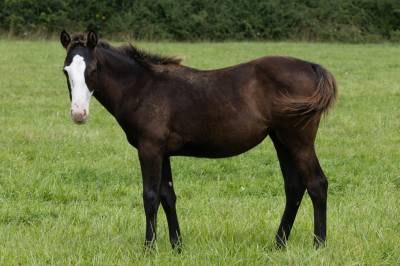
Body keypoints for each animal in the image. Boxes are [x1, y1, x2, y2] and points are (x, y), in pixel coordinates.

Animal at [60, 30, 338, 250]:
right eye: (66, 71)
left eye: (93, 69)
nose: (78, 114)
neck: (142, 88)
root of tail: (311, 66)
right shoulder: (163, 151)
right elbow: (167, 196)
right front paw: (177, 246)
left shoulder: (149, 149)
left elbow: (150, 196)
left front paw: (149, 248)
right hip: (281, 139)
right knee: (294, 187)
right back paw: (278, 244)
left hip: (298, 139)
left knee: (317, 183)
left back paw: (318, 245)